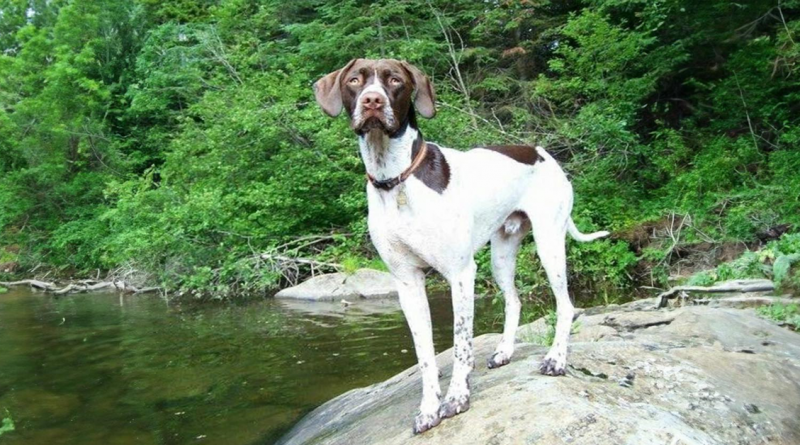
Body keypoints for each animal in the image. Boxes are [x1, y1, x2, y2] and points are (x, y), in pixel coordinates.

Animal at [312, 59, 608, 434]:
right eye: (354, 81)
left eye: (394, 80)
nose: (372, 101)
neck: (397, 179)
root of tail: (541, 152)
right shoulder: (407, 283)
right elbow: (424, 354)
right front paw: (428, 409)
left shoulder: (460, 274)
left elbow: (460, 344)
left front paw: (457, 397)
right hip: (501, 255)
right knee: (514, 301)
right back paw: (505, 351)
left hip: (549, 244)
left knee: (566, 306)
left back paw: (555, 359)